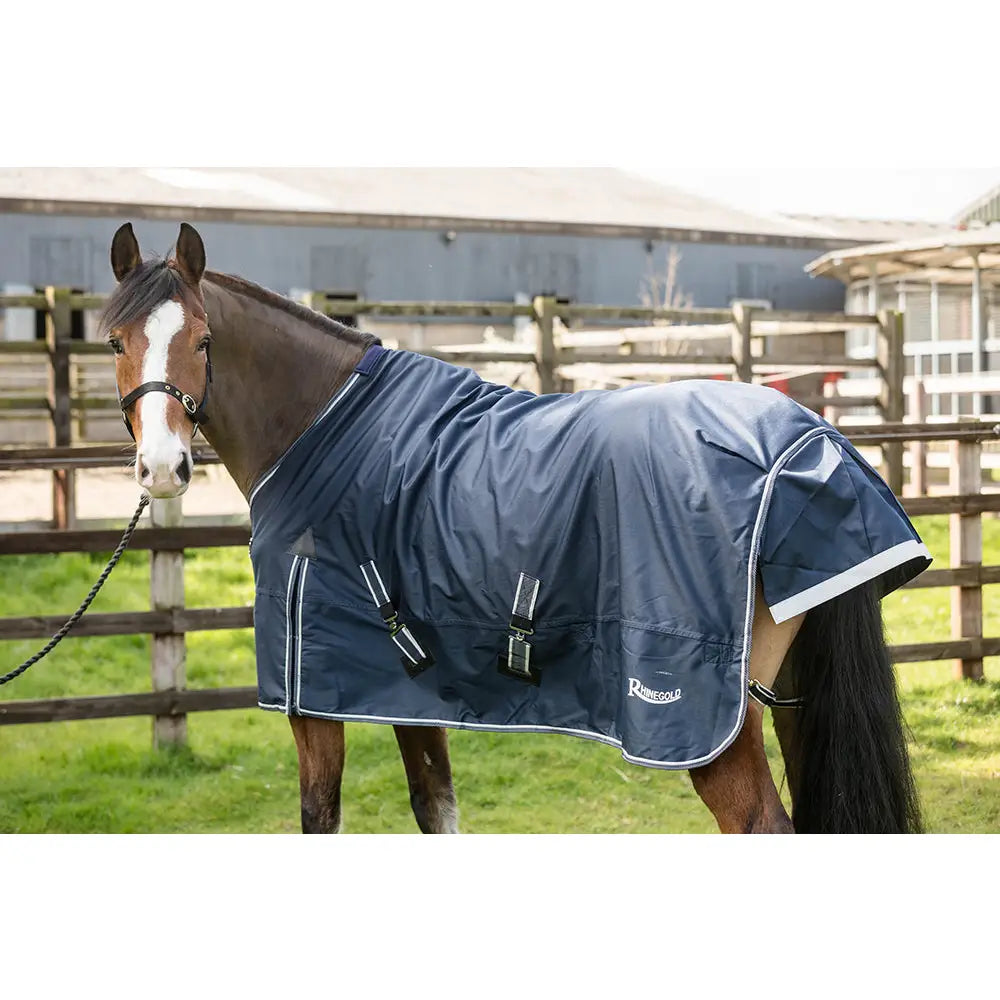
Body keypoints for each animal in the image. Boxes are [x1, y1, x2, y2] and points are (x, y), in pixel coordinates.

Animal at [100, 221, 928, 834]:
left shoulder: (315, 700)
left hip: (709, 729)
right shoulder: (402, 692)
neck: (322, 425)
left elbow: (321, 817)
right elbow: (436, 810)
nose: (163, 468)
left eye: (204, 340)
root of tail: (815, 447)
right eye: (115, 341)